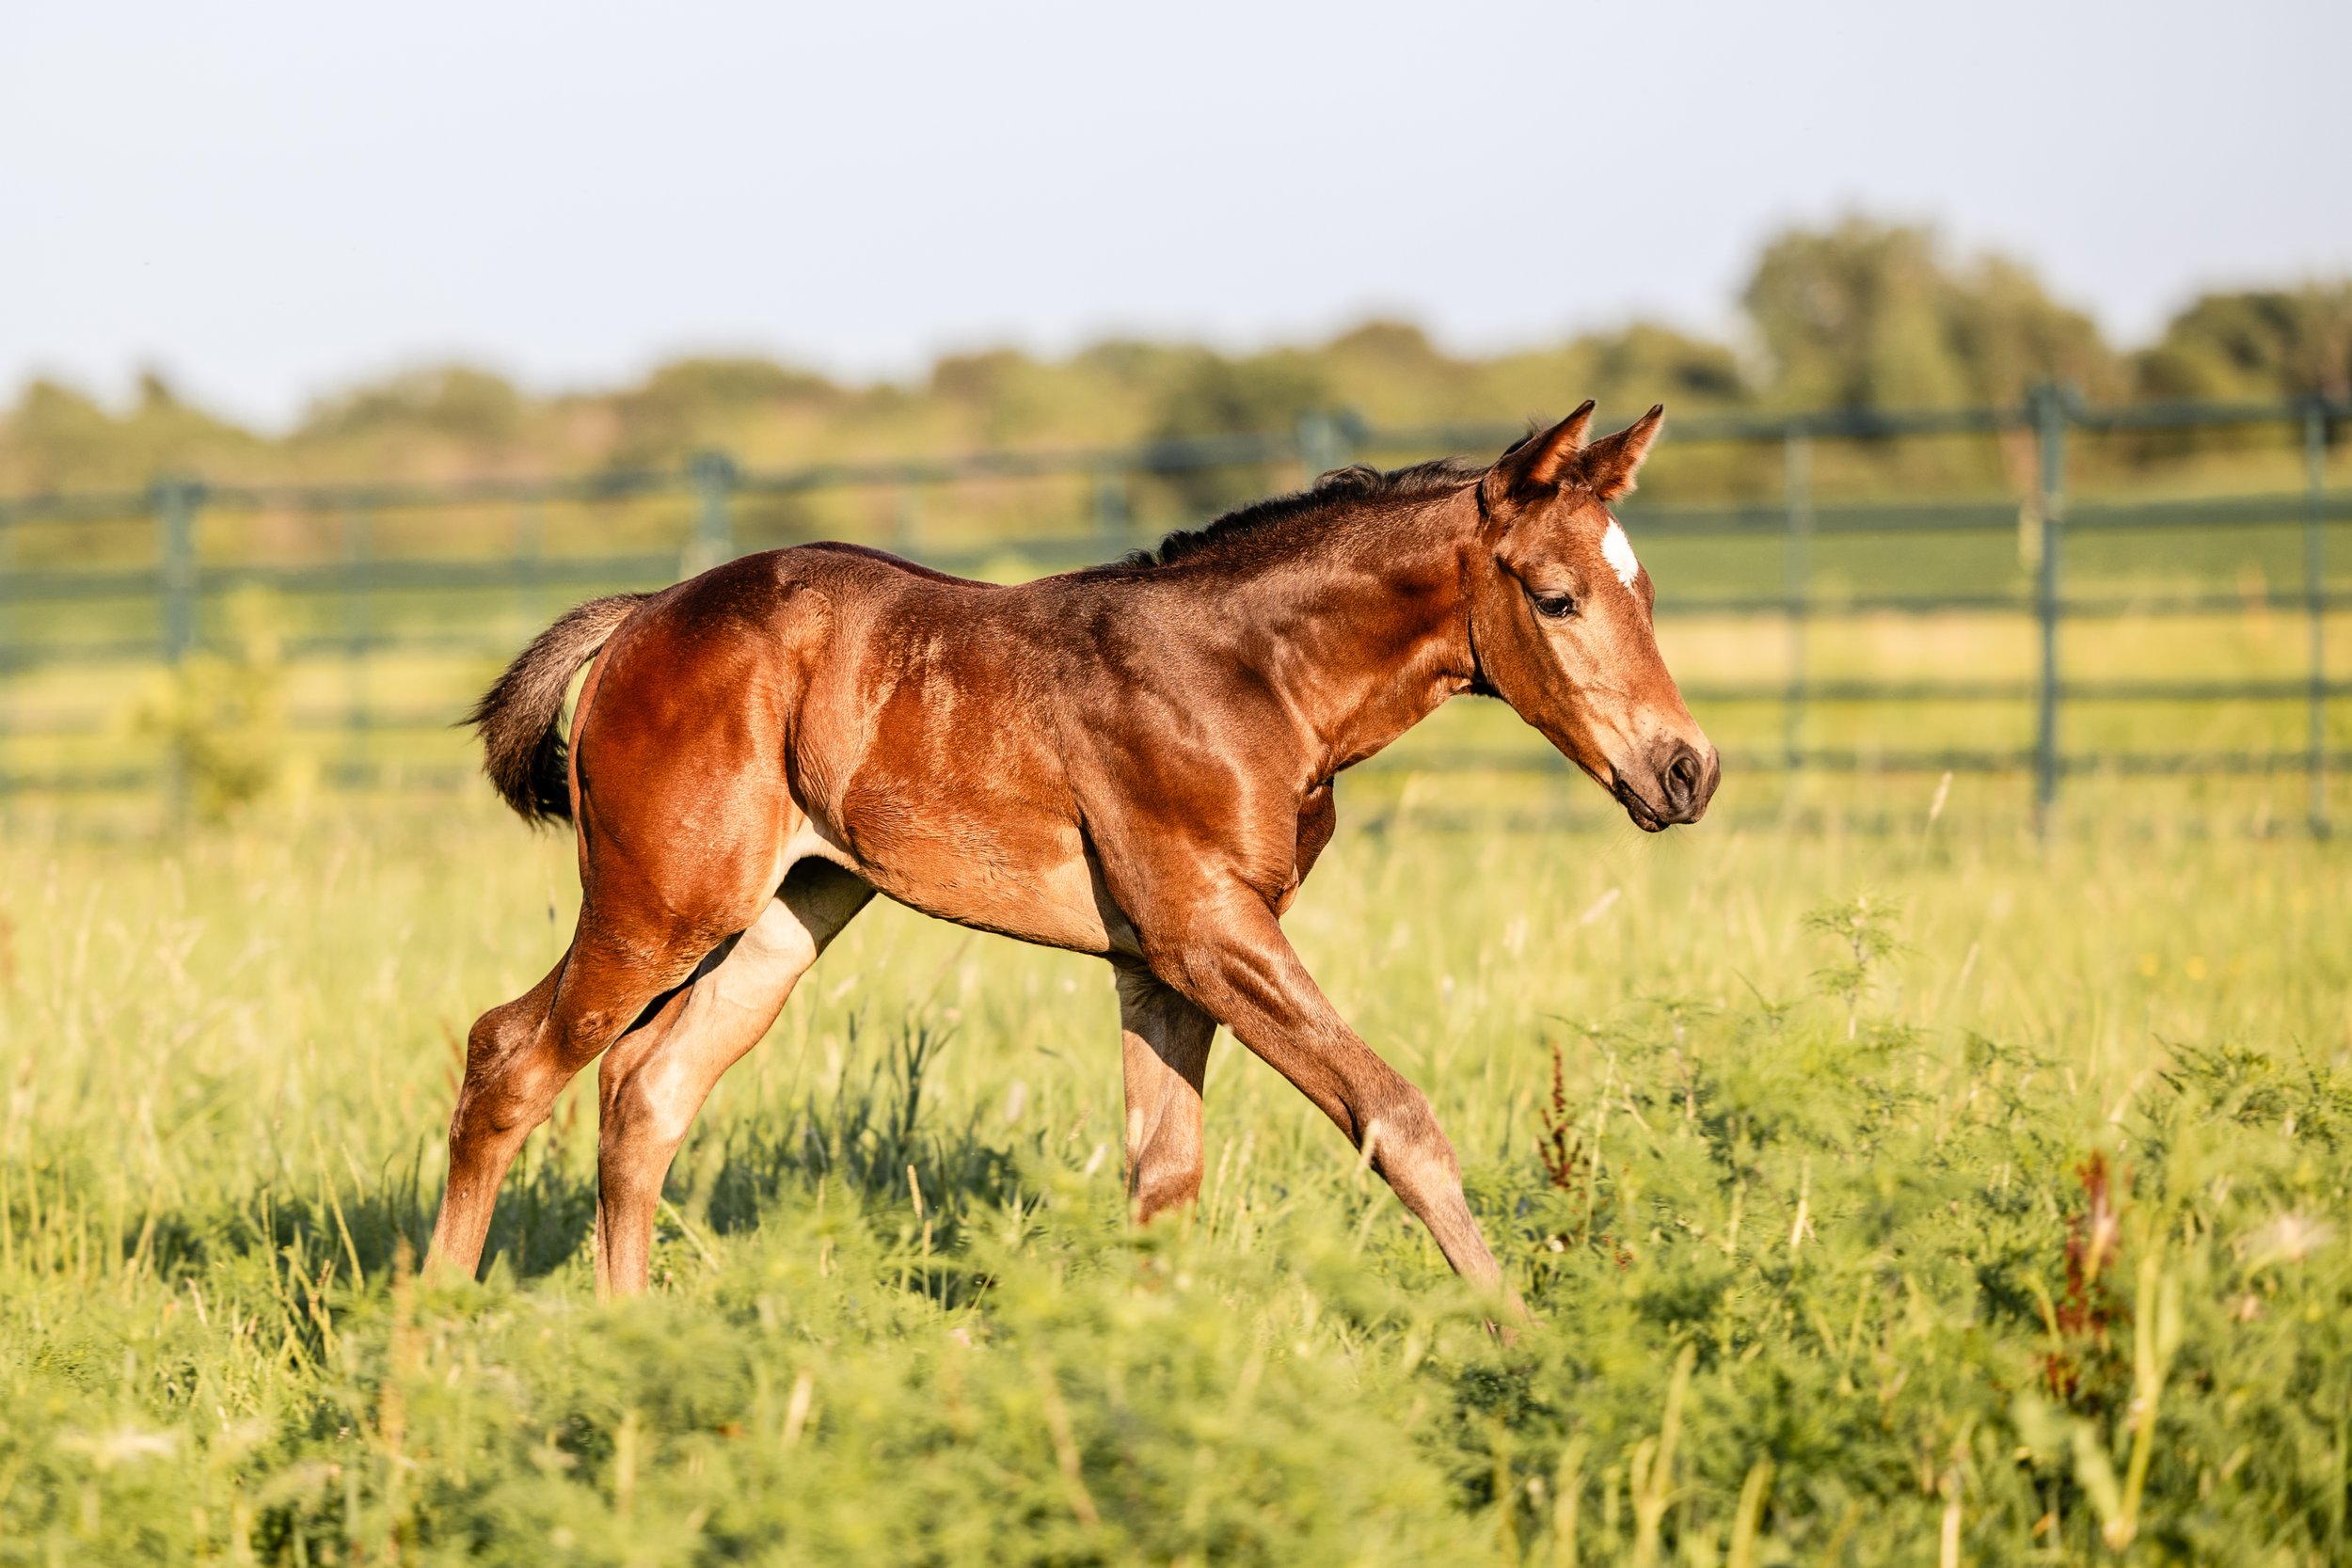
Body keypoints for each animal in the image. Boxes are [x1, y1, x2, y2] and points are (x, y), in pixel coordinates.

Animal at [425, 401, 1718, 1302]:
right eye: (1555, 596)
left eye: (1648, 588)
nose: (1685, 770)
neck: (1251, 677)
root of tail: (642, 615)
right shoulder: (1211, 931)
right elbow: (1396, 1118)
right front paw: (1521, 1339)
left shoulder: (1161, 962)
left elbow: (1164, 1179)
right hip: (661, 902)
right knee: (510, 1057)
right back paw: (429, 1349)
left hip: (787, 913)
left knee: (646, 1090)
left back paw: (629, 1338)